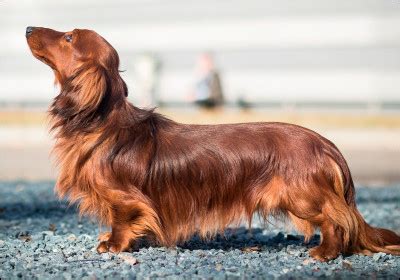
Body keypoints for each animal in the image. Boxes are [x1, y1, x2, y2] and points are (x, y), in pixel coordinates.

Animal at [26, 26, 398, 262]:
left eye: (69, 37)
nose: (28, 28)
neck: (104, 123)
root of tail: (325, 143)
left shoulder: (124, 198)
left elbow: (123, 219)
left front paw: (114, 245)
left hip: (302, 196)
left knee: (337, 221)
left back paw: (325, 252)